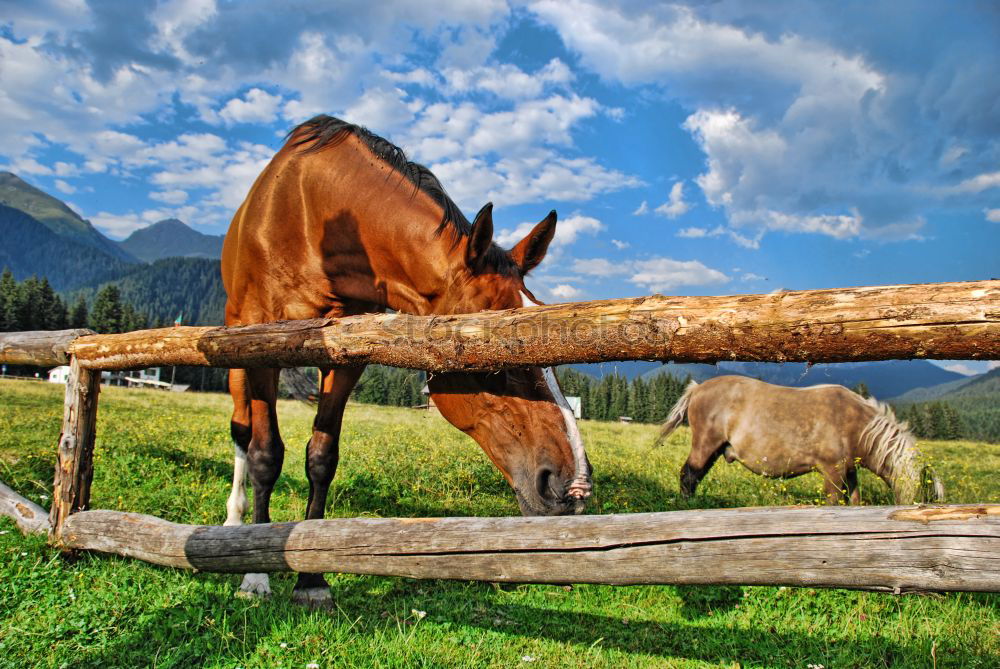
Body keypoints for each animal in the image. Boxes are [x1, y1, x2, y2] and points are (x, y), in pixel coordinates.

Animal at [221, 116, 592, 604]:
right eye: (497, 356)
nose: (574, 488)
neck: (315, 218)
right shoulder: (263, 349)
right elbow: (266, 455)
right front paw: (255, 573)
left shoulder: (347, 358)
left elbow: (321, 458)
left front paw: (311, 578)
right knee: (242, 432)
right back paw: (232, 525)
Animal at [660, 378, 940, 504]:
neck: (855, 424)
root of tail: (697, 388)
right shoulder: (832, 470)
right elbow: (833, 501)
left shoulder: (849, 470)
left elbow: (854, 500)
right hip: (705, 444)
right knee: (688, 475)